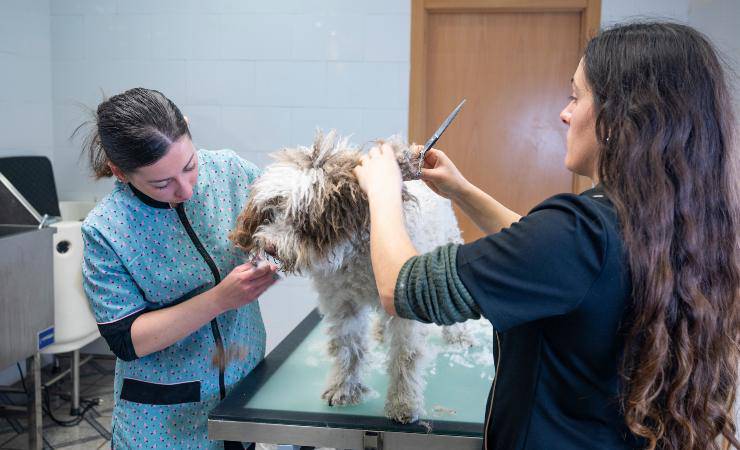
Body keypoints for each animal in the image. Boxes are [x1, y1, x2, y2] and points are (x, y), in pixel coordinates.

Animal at [230, 132, 468, 424]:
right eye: (272, 209)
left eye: (304, 219)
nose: (270, 247)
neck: (358, 252)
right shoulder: (342, 303)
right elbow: (347, 348)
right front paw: (345, 388)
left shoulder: (406, 309)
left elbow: (405, 357)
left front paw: (404, 402)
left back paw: (458, 336)